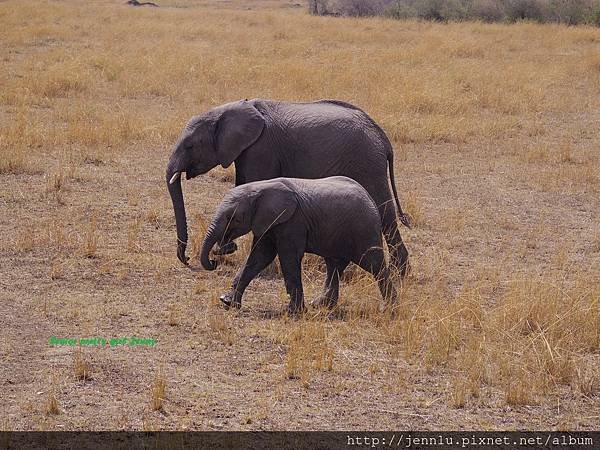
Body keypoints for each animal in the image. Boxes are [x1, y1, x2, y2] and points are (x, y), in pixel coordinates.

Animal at [168, 97, 412, 276]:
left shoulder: (261, 148)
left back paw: (400, 273)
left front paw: (224, 250)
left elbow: (250, 185)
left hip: (367, 162)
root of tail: (382, 137)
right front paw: (225, 249)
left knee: (384, 212)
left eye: (190, 146)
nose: (186, 259)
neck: (227, 109)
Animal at [199, 176, 398, 312]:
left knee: (374, 264)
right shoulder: (270, 222)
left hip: (364, 230)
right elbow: (259, 257)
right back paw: (320, 305)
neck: (260, 188)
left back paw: (388, 309)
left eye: (234, 218)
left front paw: (294, 312)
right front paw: (227, 301)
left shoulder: (293, 222)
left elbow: (288, 258)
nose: (215, 259)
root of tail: (370, 198)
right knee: (334, 265)